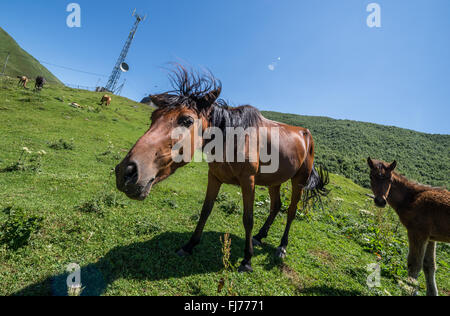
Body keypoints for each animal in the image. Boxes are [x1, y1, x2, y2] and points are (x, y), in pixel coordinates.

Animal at [115, 68, 326, 272]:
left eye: (187, 120)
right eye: (153, 117)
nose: (126, 172)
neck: (232, 139)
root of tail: (306, 134)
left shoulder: (248, 181)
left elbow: (248, 218)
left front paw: (247, 260)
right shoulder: (214, 177)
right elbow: (205, 210)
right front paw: (189, 246)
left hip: (299, 181)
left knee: (290, 211)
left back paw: (282, 247)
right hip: (274, 180)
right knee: (276, 206)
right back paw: (260, 236)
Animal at [368, 158, 448, 296]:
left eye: (390, 179)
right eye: (371, 176)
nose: (380, 201)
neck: (412, 198)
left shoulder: (417, 232)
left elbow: (414, 265)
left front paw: (411, 289)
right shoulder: (431, 237)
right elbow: (429, 266)